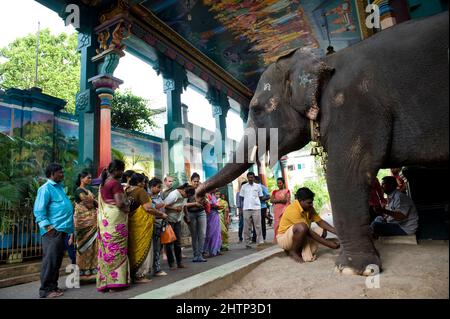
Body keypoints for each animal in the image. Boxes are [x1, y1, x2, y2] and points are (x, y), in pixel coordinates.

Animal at [198, 12, 450, 276]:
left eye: (256, 109)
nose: (198, 196)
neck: (322, 60)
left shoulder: (353, 104)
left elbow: (345, 172)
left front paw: (352, 269)